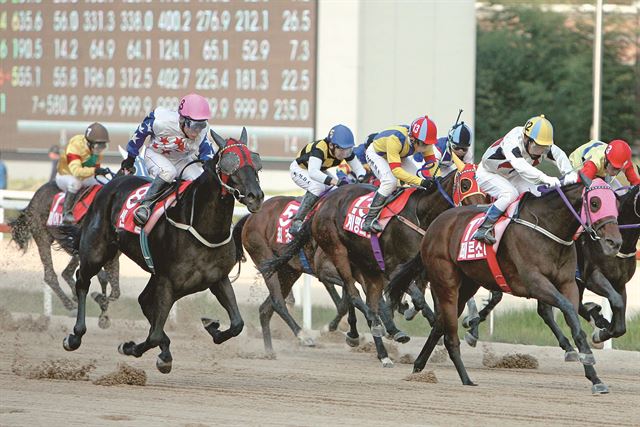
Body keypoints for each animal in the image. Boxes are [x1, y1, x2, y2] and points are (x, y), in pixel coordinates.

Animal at [57, 130, 262, 374]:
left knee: (144, 300)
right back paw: (74, 336)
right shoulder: (167, 281)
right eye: (231, 162)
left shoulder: (217, 279)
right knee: (82, 280)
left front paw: (211, 326)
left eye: (256, 162)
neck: (202, 227)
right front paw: (130, 347)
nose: (256, 196)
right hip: (96, 250)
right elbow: (154, 335)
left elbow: (237, 324)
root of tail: (113, 182)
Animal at [388, 177, 624, 394]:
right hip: (446, 281)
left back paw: (419, 367)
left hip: (469, 283)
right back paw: (465, 378)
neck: (547, 228)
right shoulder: (535, 283)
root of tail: (433, 227)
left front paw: (595, 377)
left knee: (439, 324)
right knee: (450, 334)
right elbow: (567, 309)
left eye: (616, 202)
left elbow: (575, 320)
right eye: (595, 202)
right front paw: (588, 352)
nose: (615, 242)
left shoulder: (568, 283)